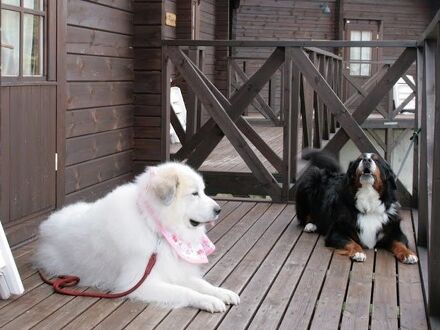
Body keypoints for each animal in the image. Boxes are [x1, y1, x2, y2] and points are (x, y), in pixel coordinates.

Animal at [34, 162, 241, 312]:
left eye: (203, 191)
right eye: (195, 194)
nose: (218, 210)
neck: (153, 225)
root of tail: (46, 224)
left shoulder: (173, 269)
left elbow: (201, 283)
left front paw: (221, 293)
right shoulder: (141, 283)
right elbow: (185, 291)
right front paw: (208, 301)